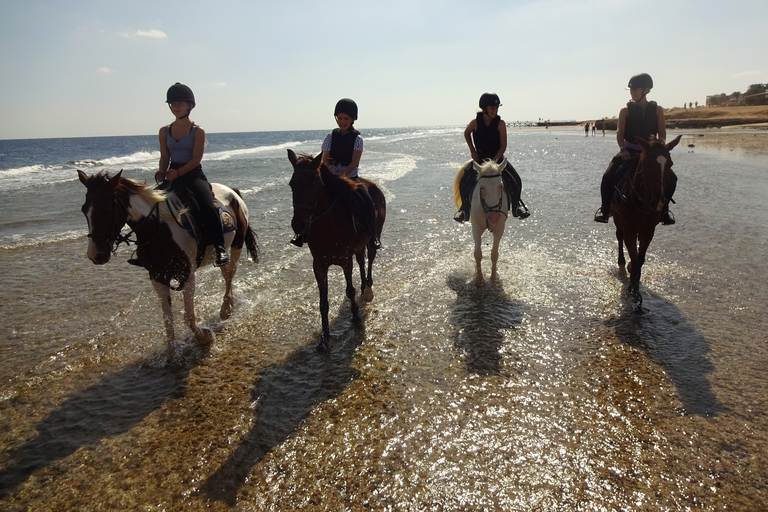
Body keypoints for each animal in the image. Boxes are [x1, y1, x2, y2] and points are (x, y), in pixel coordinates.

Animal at [78, 170, 260, 358]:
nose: (95, 255)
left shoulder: (187, 274)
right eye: (84, 210)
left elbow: (188, 317)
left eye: (105, 210)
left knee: (231, 272)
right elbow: (167, 318)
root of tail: (232, 191)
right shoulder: (157, 277)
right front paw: (171, 353)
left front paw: (205, 336)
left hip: (237, 242)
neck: (159, 230)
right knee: (225, 270)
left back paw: (226, 309)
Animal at [286, 146, 388, 350]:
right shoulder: (319, 265)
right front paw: (325, 338)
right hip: (358, 246)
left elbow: (349, 290)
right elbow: (323, 302)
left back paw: (368, 287)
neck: (328, 225)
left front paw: (355, 317)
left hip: (374, 236)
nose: (298, 225)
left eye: (312, 184)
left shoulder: (345, 260)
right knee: (361, 260)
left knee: (370, 258)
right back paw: (364, 284)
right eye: (292, 184)